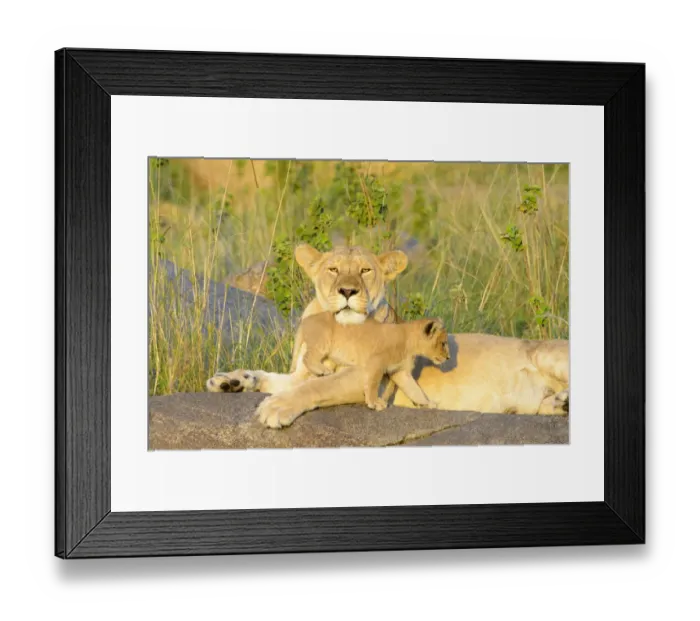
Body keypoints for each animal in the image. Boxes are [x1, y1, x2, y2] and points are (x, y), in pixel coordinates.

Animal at [300, 311, 450, 411]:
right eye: (443, 344)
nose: (448, 358)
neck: (410, 345)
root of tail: (305, 320)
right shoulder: (376, 362)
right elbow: (373, 384)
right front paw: (374, 403)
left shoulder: (400, 372)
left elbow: (414, 390)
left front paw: (428, 403)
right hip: (322, 341)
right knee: (307, 357)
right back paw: (322, 371)